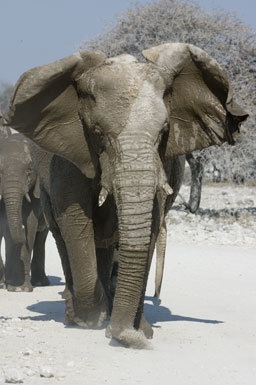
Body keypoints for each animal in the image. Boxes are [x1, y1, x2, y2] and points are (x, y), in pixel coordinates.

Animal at [0, 130, 49, 290]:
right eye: (0, 172)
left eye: (29, 171)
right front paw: (14, 287)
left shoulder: (36, 191)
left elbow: (31, 224)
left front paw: (22, 288)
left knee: (41, 237)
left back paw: (40, 283)